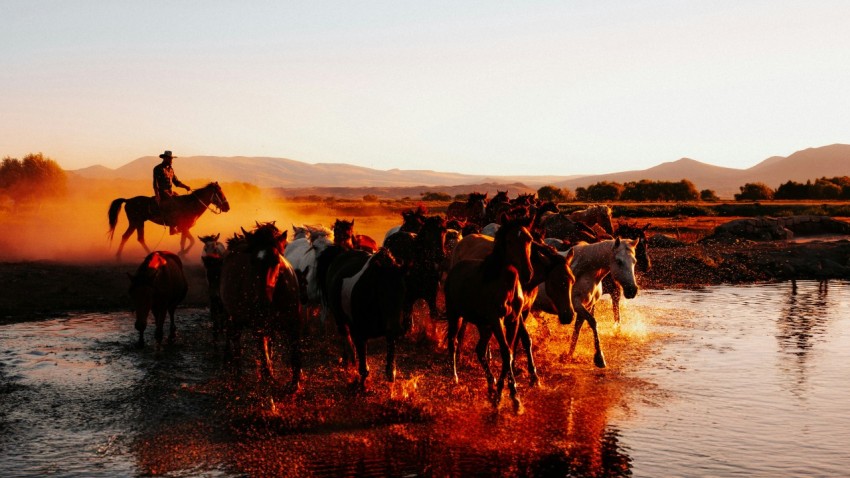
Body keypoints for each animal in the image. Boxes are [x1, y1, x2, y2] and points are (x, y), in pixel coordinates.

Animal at [220, 223, 303, 389]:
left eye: (276, 260)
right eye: (252, 262)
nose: (263, 302)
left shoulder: (293, 323)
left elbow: (295, 354)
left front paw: (295, 383)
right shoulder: (259, 327)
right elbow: (264, 358)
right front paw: (269, 380)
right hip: (233, 318)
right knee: (235, 343)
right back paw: (236, 374)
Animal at [325, 248, 407, 386]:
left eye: (402, 290)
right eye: (381, 292)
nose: (397, 329)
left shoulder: (390, 333)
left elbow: (390, 368)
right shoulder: (360, 334)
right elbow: (363, 368)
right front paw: (362, 384)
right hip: (339, 319)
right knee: (346, 337)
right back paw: (349, 361)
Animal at [444, 215, 534, 408]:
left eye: (529, 239)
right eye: (509, 240)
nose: (528, 273)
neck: (505, 286)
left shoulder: (513, 320)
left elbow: (510, 354)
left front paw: (509, 395)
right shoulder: (496, 320)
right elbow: (506, 352)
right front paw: (508, 397)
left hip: (483, 325)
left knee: (480, 349)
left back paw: (491, 385)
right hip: (456, 316)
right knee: (453, 342)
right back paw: (454, 377)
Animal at [559, 238, 638, 368]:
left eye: (634, 261)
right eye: (619, 261)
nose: (632, 290)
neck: (586, 271)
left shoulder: (586, 306)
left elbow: (577, 330)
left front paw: (569, 355)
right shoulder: (576, 304)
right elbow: (593, 322)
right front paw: (599, 357)